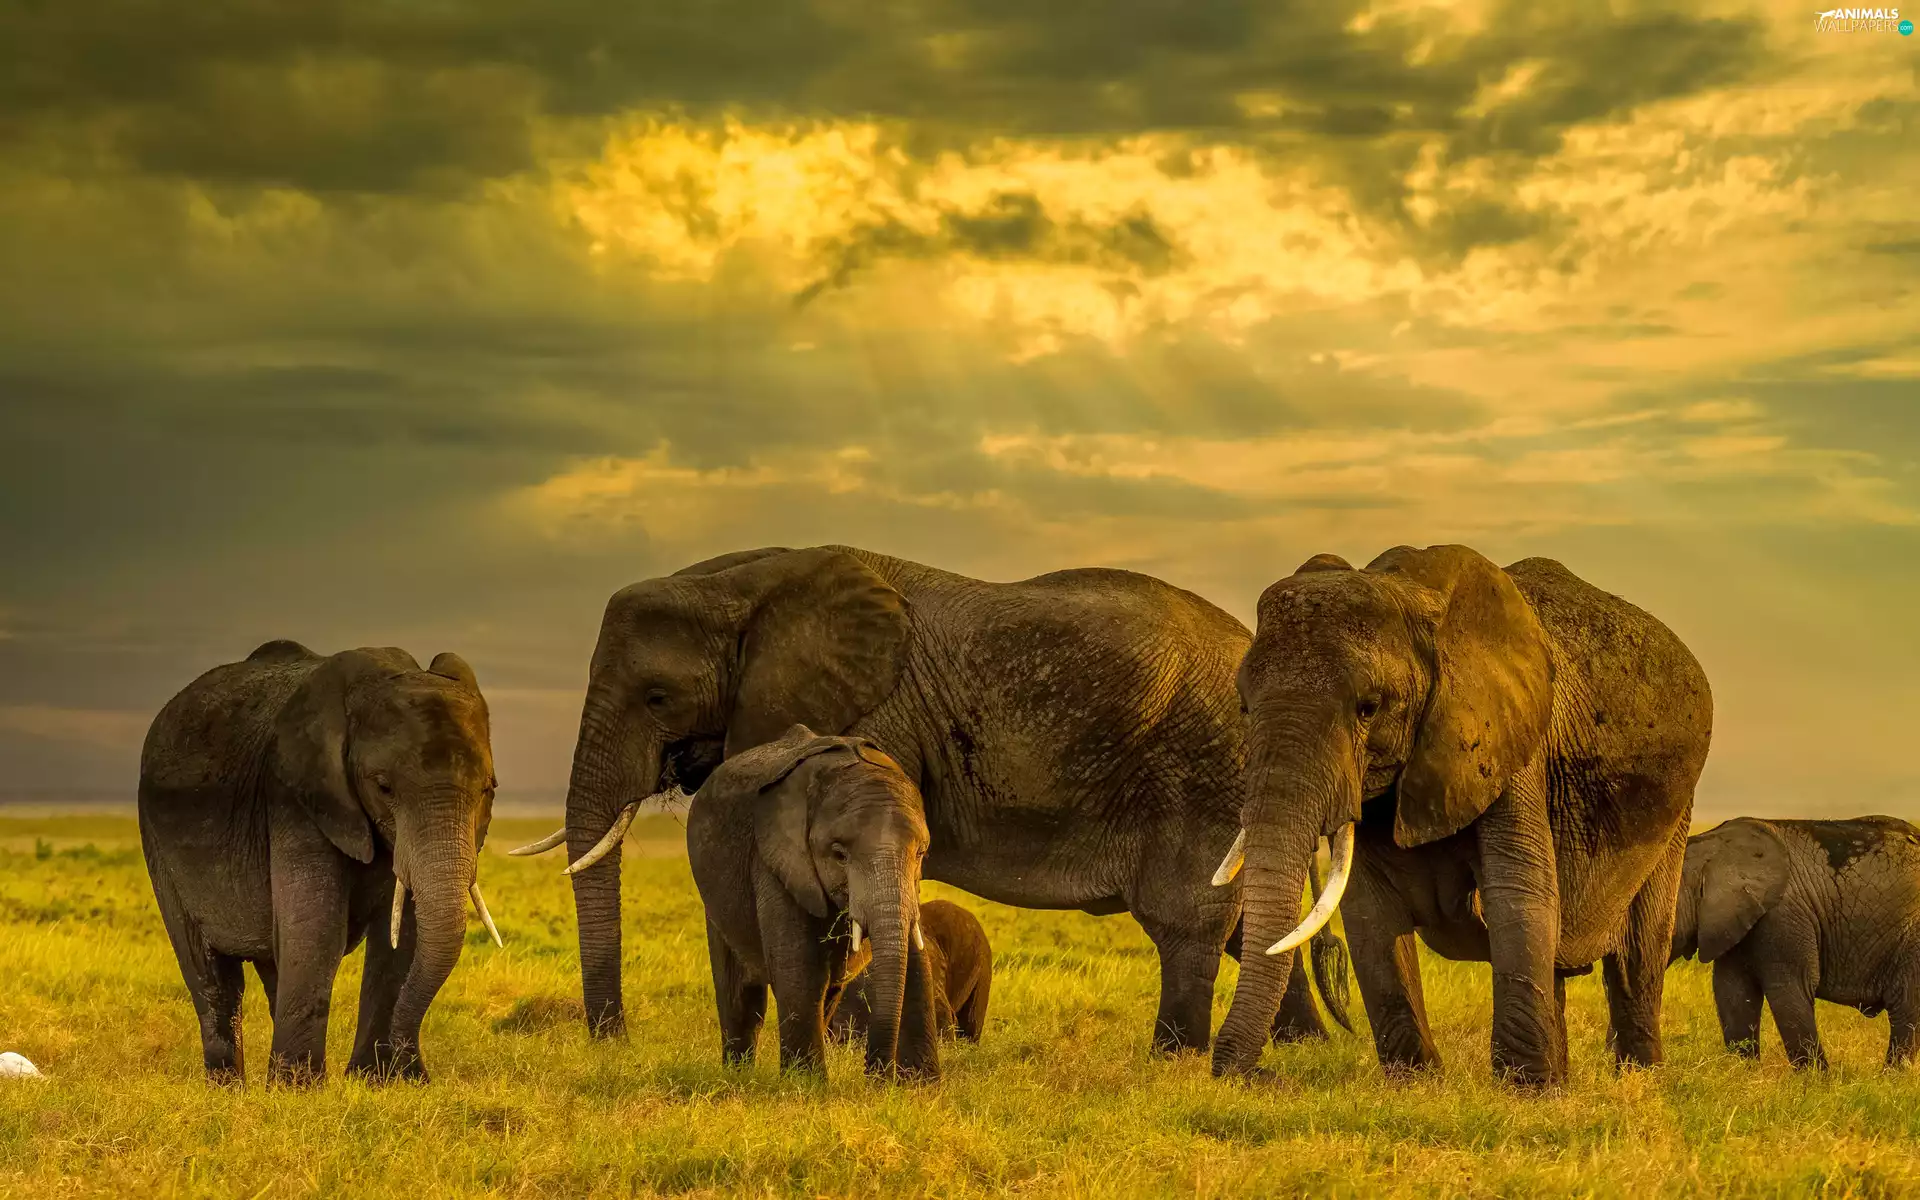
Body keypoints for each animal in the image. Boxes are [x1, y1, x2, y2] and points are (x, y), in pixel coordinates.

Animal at [137, 641, 502, 1085]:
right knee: (210, 972)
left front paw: (381, 1082)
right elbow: (318, 929)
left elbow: (402, 934)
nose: (414, 1067)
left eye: (488, 789)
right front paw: (299, 1089)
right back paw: (229, 1087)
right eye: (384, 787)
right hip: (157, 842)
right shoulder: (294, 798)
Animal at [687, 723, 941, 1079]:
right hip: (715, 896)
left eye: (921, 854)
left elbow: (914, 952)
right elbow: (800, 968)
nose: (875, 1076)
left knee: (829, 992)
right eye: (839, 855)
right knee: (741, 995)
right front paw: (805, 1085)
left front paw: (919, 1085)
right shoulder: (773, 859)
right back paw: (737, 1075)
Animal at [1210, 545, 1712, 1086]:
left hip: (1675, 810)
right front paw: (1416, 1082)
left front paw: (1524, 1090)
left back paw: (1638, 1077)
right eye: (1244, 706)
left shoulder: (1507, 741)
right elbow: (1369, 908)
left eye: (1368, 708)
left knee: (1639, 953)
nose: (1256, 1074)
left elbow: (1517, 891)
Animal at [1671, 815, 1920, 1069]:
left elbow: (1789, 991)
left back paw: (1891, 1075)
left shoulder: (1783, 917)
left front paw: (1816, 1078)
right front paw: (1743, 1071)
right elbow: (1732, 992)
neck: (1712, 850)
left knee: (1907, 1009)